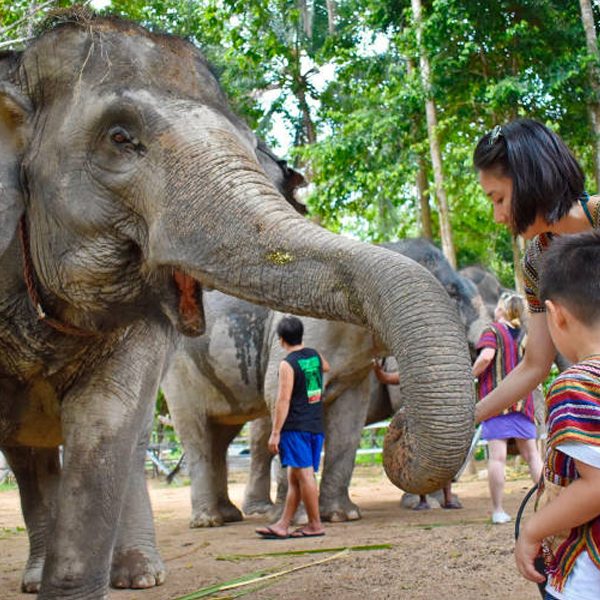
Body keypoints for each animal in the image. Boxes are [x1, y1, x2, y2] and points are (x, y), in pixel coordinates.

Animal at [161, 239, 488, 524]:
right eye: (453, 294)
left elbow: (350, 418)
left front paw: (344, 516)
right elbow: (278, 393)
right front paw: (296, 520)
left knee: (222, 435)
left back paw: (231, 514)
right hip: (178, 373)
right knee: (198, 435)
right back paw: (212, 520)